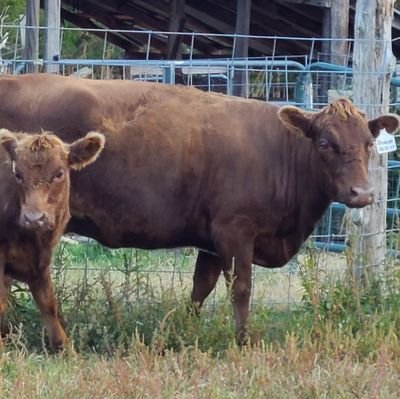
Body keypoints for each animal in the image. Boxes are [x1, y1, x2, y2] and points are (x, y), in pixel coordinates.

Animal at [0, 130, 105, 352]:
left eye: (59, 174)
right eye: (18, 174)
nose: (33, 218)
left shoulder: (41, 260)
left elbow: (48, 303)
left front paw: (65, 348)